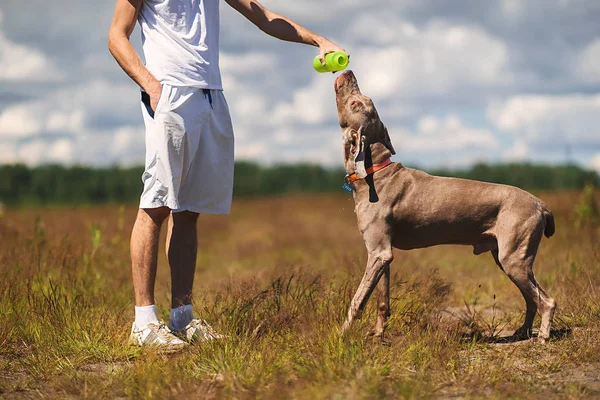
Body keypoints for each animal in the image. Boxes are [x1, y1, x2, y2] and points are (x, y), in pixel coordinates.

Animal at [336, 70, 556, 342]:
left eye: (357, 103)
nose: (347, 72)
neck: (375, 171)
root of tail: (540, 203)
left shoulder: (379, 252)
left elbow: (357, 300)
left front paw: (340, 335)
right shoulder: (381, 252)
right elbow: (381, 299)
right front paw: (377, 334)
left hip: (514, 257)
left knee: (547, 300)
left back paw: (543, 336)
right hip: (510, 258)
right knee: (532, 299)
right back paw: (521, 332)